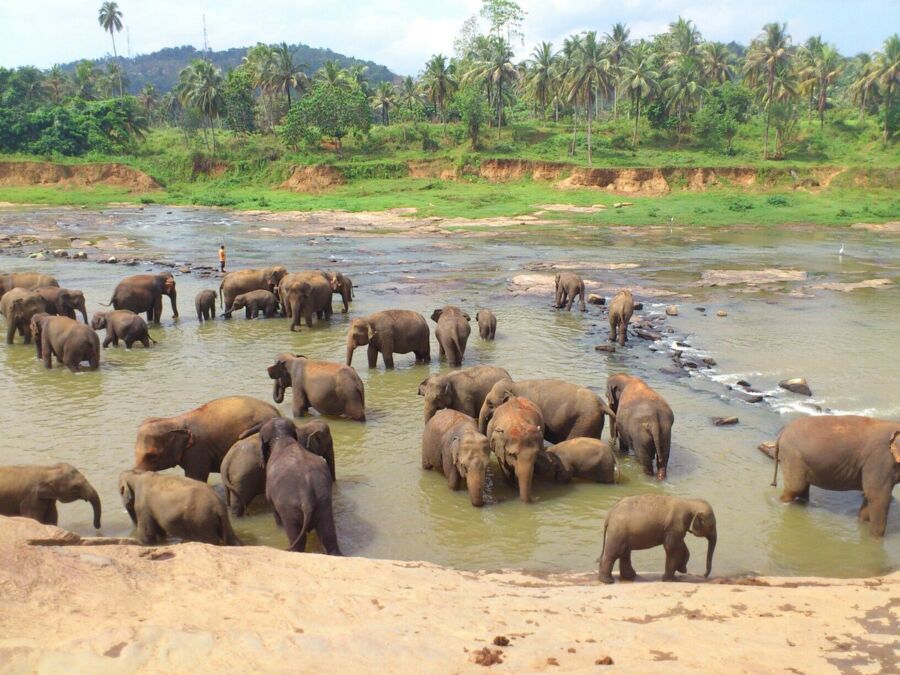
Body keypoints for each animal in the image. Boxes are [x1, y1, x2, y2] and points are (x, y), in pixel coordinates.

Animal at [239, 418, 342, 556]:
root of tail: (306, 497)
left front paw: (279, 528)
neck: (282, 437)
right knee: (328, 534)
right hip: (323, 503)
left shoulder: (270, 493)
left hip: (289, 509)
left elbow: (274, 510)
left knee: (295, 536)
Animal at [768, 414, 900, 536]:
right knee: (794, 488)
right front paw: (875, 540)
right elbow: (878, 497)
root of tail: (782, 432)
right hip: (792, 457)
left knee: (803, 488)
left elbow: (868, 499)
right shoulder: (880, 461)